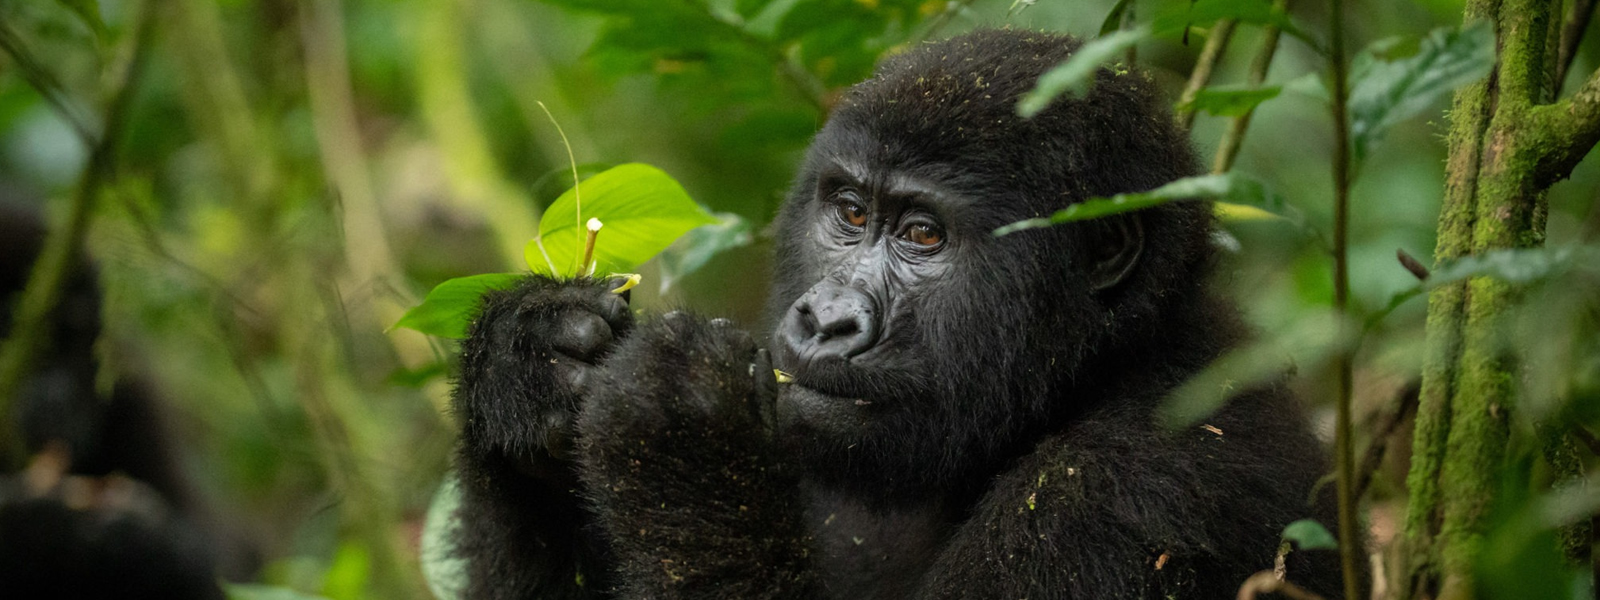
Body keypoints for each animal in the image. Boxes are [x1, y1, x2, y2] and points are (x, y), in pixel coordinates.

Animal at [454, 29, 1350, 600]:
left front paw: (675, 423)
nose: (825, 321)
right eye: (850, 213)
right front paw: (530, 360)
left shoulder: (1133, 489)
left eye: (923, 235)